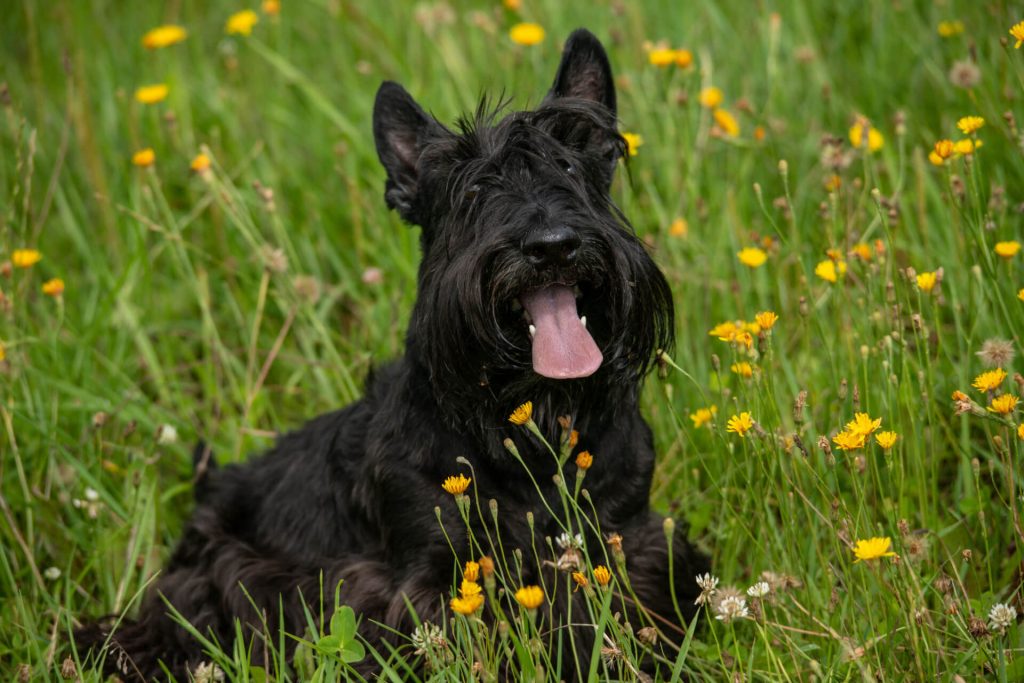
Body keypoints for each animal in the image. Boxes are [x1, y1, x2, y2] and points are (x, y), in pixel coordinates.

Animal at [77, 29, 704, 679]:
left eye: (571, 166)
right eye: (473, 189)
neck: (529, 424)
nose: (552, 245)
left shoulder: (628, 537)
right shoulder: (430, 575)